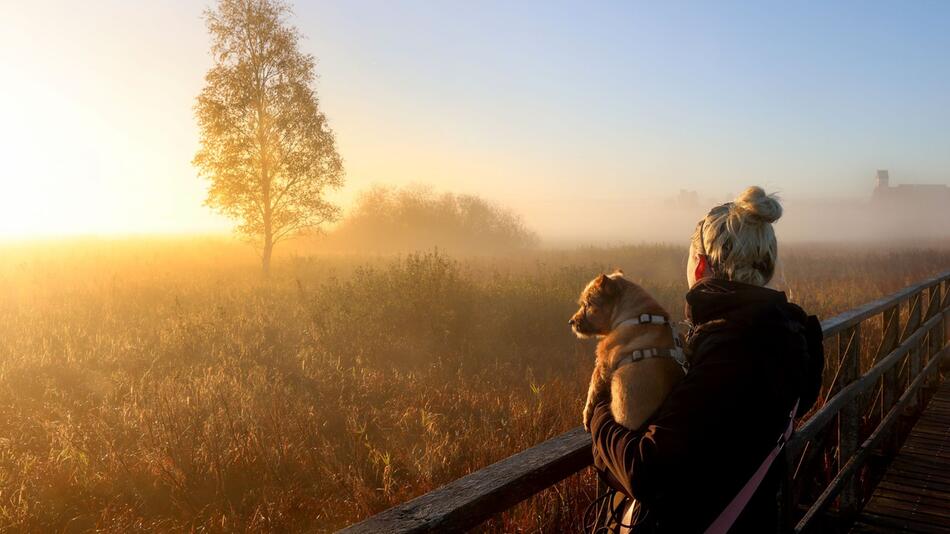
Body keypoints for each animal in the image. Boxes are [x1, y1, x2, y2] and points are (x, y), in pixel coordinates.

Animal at [568, 274, 688, 434]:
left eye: (587, 304)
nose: (571, 322)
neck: (634, 315)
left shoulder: (602, 364)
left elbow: (591, 392)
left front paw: (586, 418)